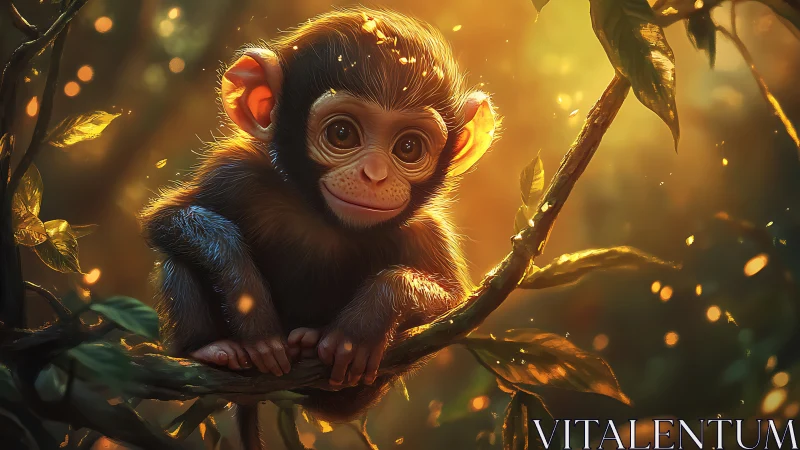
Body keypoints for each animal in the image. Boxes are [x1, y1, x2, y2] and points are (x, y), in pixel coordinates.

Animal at [140, 7, 498, 449]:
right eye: (342, 134)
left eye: (408, 148)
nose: (374, 175)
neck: (322, 219)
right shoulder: (234, 172)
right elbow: (167, 219)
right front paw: (249, 304)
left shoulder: (427, 230)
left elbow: (456, 304)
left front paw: (363, 324)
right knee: (177, 259)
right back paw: (212, 349)